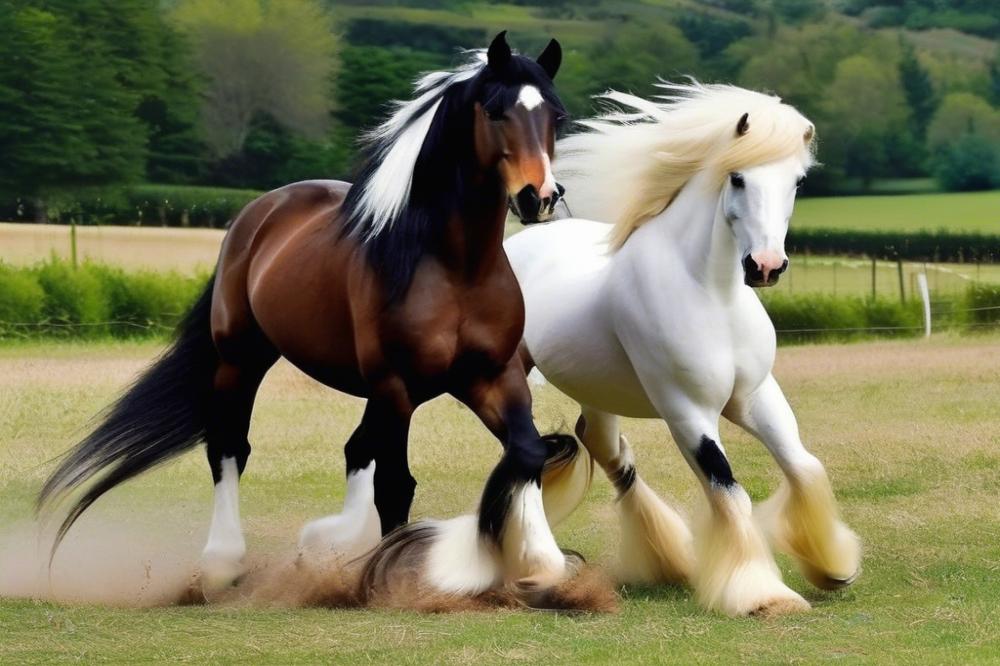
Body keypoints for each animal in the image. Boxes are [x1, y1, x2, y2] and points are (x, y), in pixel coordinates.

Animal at [43, 32, 584, 596]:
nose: (540, 196)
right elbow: (396, 483)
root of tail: (261, 211)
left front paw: (543, 565)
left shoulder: (492, 376)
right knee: (230, 446)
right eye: (496, 111)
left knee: (354, 448)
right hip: (242, 358)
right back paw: (224, 563)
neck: (456, 267)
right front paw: (394, 573)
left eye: (557, 115)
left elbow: (528, 453)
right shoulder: (396, 385)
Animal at [504, 81, 864, 612]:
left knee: (605, 448)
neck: (710, 293)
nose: (766, 266)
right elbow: (729, 490)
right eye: (737, 178)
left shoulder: (756, 396)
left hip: (596, 391)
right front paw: (763, 595)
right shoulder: (688, 412)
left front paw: (833, 565)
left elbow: (803, 466)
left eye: (797, 182)